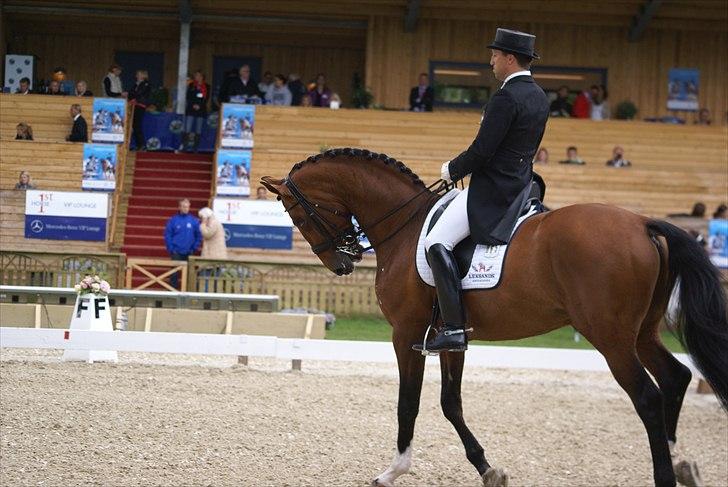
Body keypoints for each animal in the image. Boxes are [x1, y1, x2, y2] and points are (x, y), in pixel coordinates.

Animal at [262, 149, 728, 487]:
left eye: (297, 214)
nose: (342, 263)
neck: (406, 227)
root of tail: (643, 222)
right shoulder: (449, 336)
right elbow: (451, 402)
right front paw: (488, 469)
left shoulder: (406, 334)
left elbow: (408, 402)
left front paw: (393, 470)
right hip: (642, 332)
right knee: (675, 378)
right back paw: (679, 461)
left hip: (611, 337)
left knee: (648, 397)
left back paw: (666, 473)